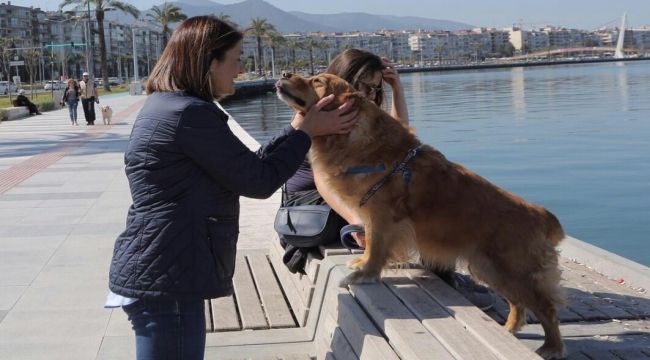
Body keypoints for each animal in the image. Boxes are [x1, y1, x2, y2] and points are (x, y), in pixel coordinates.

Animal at [276, 72, 564, 358]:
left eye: (317, 81)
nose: (284, 73)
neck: (357, 138)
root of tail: (540, 214)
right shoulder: (373, 215)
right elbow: (370, 243)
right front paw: (362, 263)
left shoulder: (382, 215)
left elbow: (376, 247)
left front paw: (365, 273)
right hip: (489, 267)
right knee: (518, 303)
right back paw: (509, 329)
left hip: (513, 269)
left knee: (546, 307)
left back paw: (551, 347)